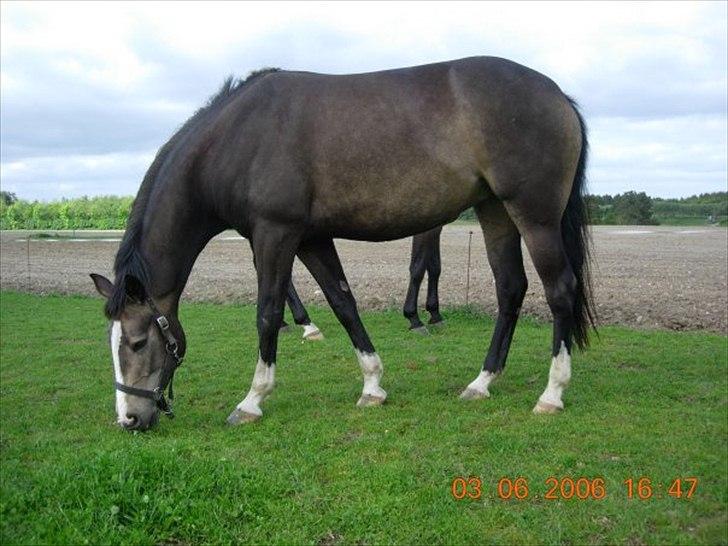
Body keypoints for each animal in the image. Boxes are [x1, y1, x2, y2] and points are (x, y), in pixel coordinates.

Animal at [90, 56, 595, 431]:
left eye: (136, 342)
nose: (129, 420)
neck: (237, 137)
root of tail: (558, 95)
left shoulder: (275, 234)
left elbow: (267, 313)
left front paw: (252, 400)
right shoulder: (312, 238)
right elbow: (343, 302)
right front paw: (372, 386)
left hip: (534, 215)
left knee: (560, 291)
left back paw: (552, 393)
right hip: (495, 213)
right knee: (510, 289)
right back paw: (482, 382)